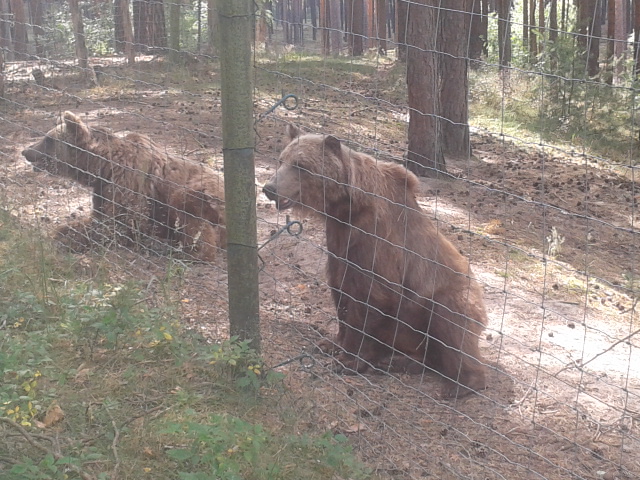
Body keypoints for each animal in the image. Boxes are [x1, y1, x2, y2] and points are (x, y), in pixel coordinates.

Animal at [21, 110, 225, 260]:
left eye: (48, 139)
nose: (26, 151)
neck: (101, 165)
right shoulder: (103, 188)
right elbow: (101, 217)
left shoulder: (128, 183)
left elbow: (118, 223)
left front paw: (62, 235)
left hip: (205, 193)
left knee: (190, 213)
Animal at [262, 125, 488, 400]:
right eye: (281, 159)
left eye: (301, 165)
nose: (269, 188)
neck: (344, 207)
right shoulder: (339, 241)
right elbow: (341, 291)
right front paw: (331, 342)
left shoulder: (376, 242)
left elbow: (371, 297)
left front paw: (349, 360)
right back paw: (397, 361)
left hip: (449, 296)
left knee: (451, 326)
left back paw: (457, 385)